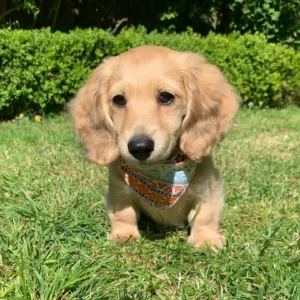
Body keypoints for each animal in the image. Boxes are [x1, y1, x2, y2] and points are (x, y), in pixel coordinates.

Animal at [69, 45, 239, 248]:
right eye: (118, 99)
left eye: (166, 97)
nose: (139, 147)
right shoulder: (118, 190)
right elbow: (124, 213)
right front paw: (123, 234)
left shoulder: (209, 187)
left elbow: (205, 214)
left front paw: (205, 239)